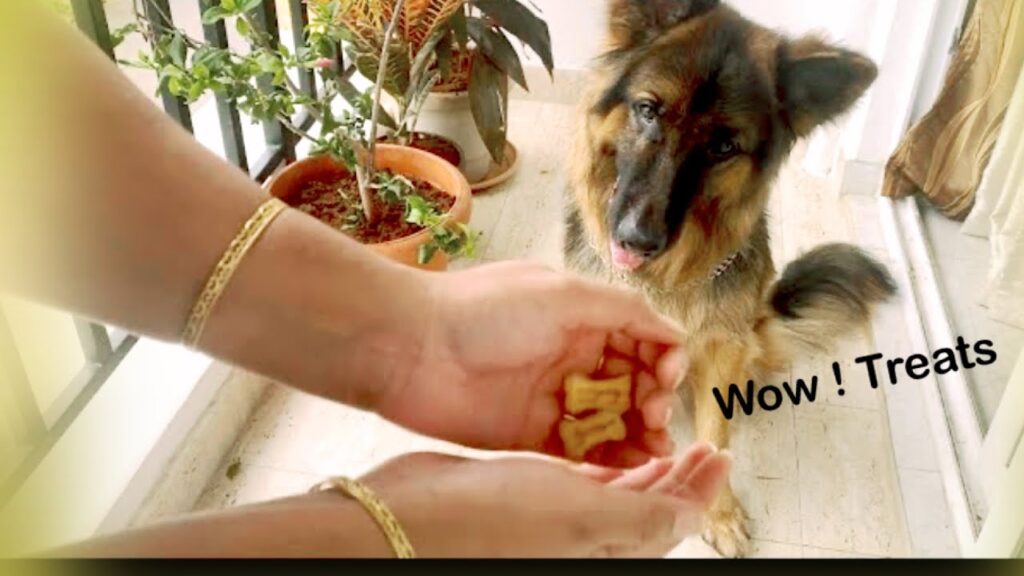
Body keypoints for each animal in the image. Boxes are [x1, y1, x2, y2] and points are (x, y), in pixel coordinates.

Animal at [569, 0, 897, 557]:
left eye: (724, 146)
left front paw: (717, 513)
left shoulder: (721, 350)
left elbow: (714, 435)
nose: (636, 240)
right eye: (648, 110)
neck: (663, 279)